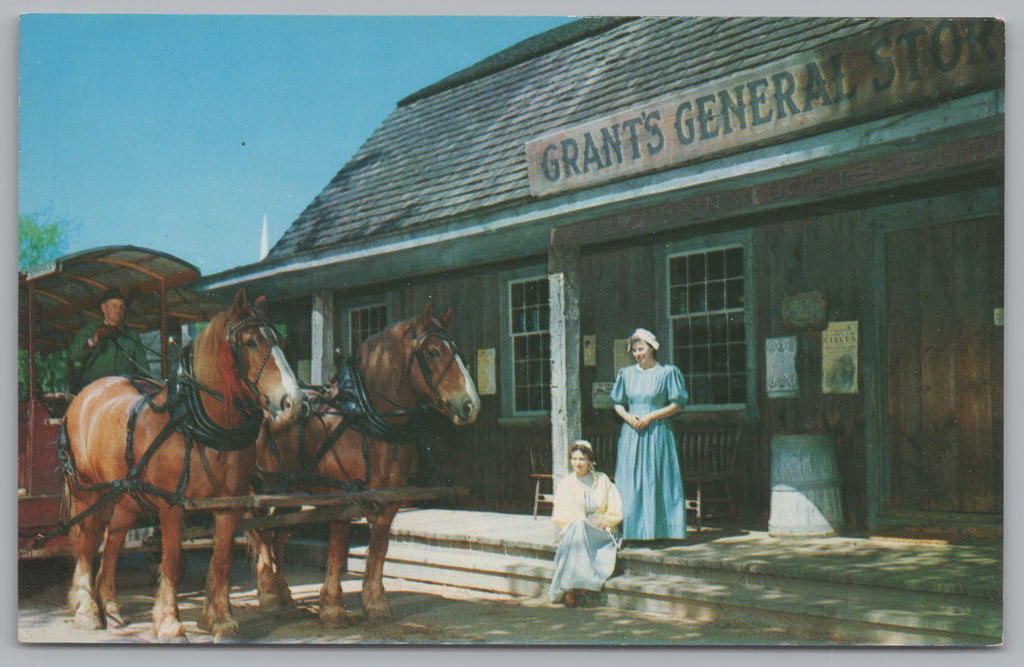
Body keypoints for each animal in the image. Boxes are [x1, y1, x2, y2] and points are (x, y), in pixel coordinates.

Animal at [62, 288, 303, 643]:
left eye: (282, 342)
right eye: (249, 342)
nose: (294, 402)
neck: (196, 425)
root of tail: (84, 396)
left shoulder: (229, 506)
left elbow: (222, 561)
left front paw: (222, 621)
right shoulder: (172, 506)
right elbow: (172, 562)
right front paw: (169, 624)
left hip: (126, 495)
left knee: (114, 541)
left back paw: (112, 606)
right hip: (87, 490)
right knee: (87, 541)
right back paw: (88, 608)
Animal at [253, 303, 481, 627]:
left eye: (456, 350)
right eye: (434, 352)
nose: (470, 405)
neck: (364, 418)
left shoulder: (390, 501)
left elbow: (379, 549)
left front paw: (375, 603)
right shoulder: (342, 499)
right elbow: (338, 550)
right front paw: (333, 608)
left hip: (291, 492)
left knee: (278, 536)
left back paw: (284, 593)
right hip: (263, 488)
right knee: (260, 533)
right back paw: (267, 594)